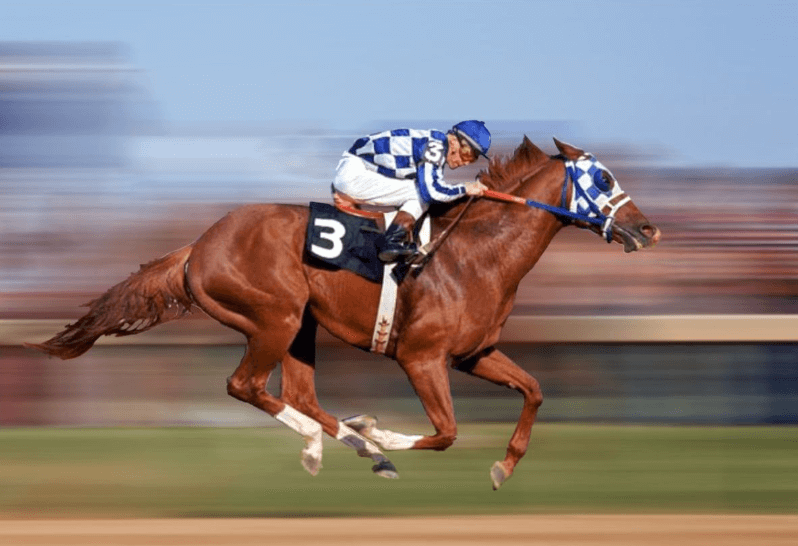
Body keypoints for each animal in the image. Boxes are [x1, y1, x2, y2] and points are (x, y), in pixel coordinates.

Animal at [27, 136, 661, 489]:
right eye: (604, 177)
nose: (648, 229)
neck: (477, 253)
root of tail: (198, 245)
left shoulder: (473, 354)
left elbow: (533, 391)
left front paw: (504, 466)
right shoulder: (421, 357)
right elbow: (446, 433)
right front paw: (381, 433)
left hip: (300, 325)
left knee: (297, 394)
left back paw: (342, 443)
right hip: (275, 317)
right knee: (245, 386)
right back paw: (346, 443)